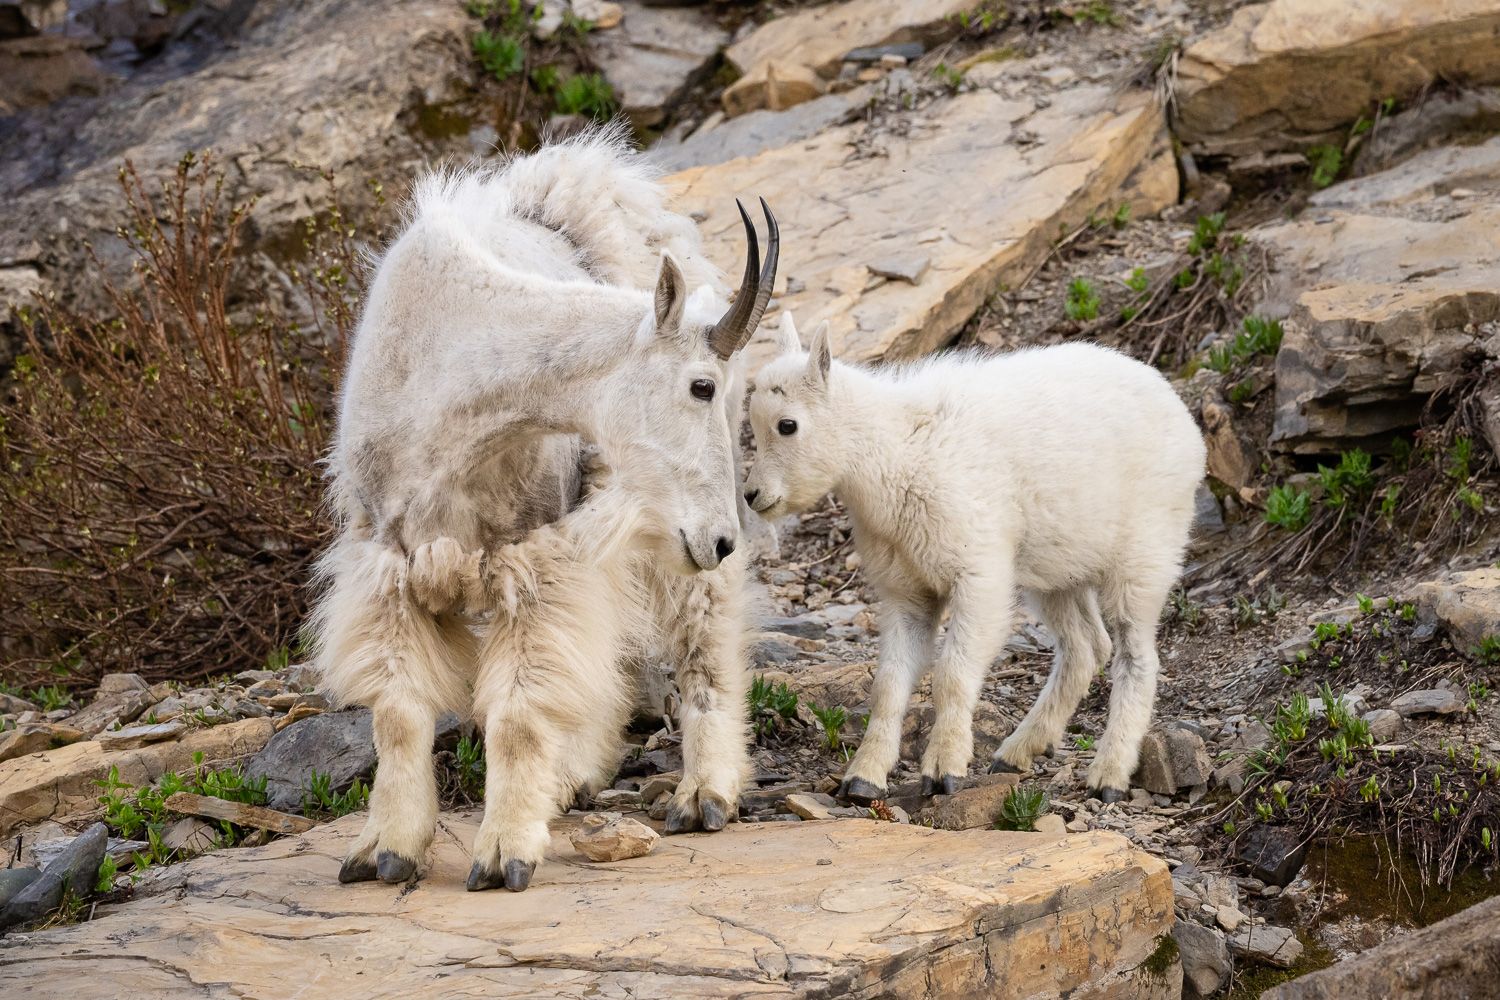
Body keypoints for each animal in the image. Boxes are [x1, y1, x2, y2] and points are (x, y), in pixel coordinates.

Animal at [312, 130, 776, 891]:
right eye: (700, 385)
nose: (720, 539)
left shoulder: (532, 559)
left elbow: (518, 714)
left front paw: (504, 854)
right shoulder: (388, 563)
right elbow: (399, 713)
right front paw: (385, 849)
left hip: (660, 540)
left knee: (703, 630)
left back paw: (704, 792)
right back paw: (574, 778)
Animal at [743, 316, 1205, 803]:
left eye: (787, 424)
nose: (753, 496)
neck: (896, 453)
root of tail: (1180, 414)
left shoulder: (978, 574)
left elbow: (951, 674)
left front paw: (944, 769)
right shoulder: (908, 593)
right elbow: (888, 684)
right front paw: (864, 778)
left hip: (1144, 555)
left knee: (1137, 657)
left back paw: (1109, 773)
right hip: (1058, 570)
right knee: (1084, 648)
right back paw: (1018, 751)